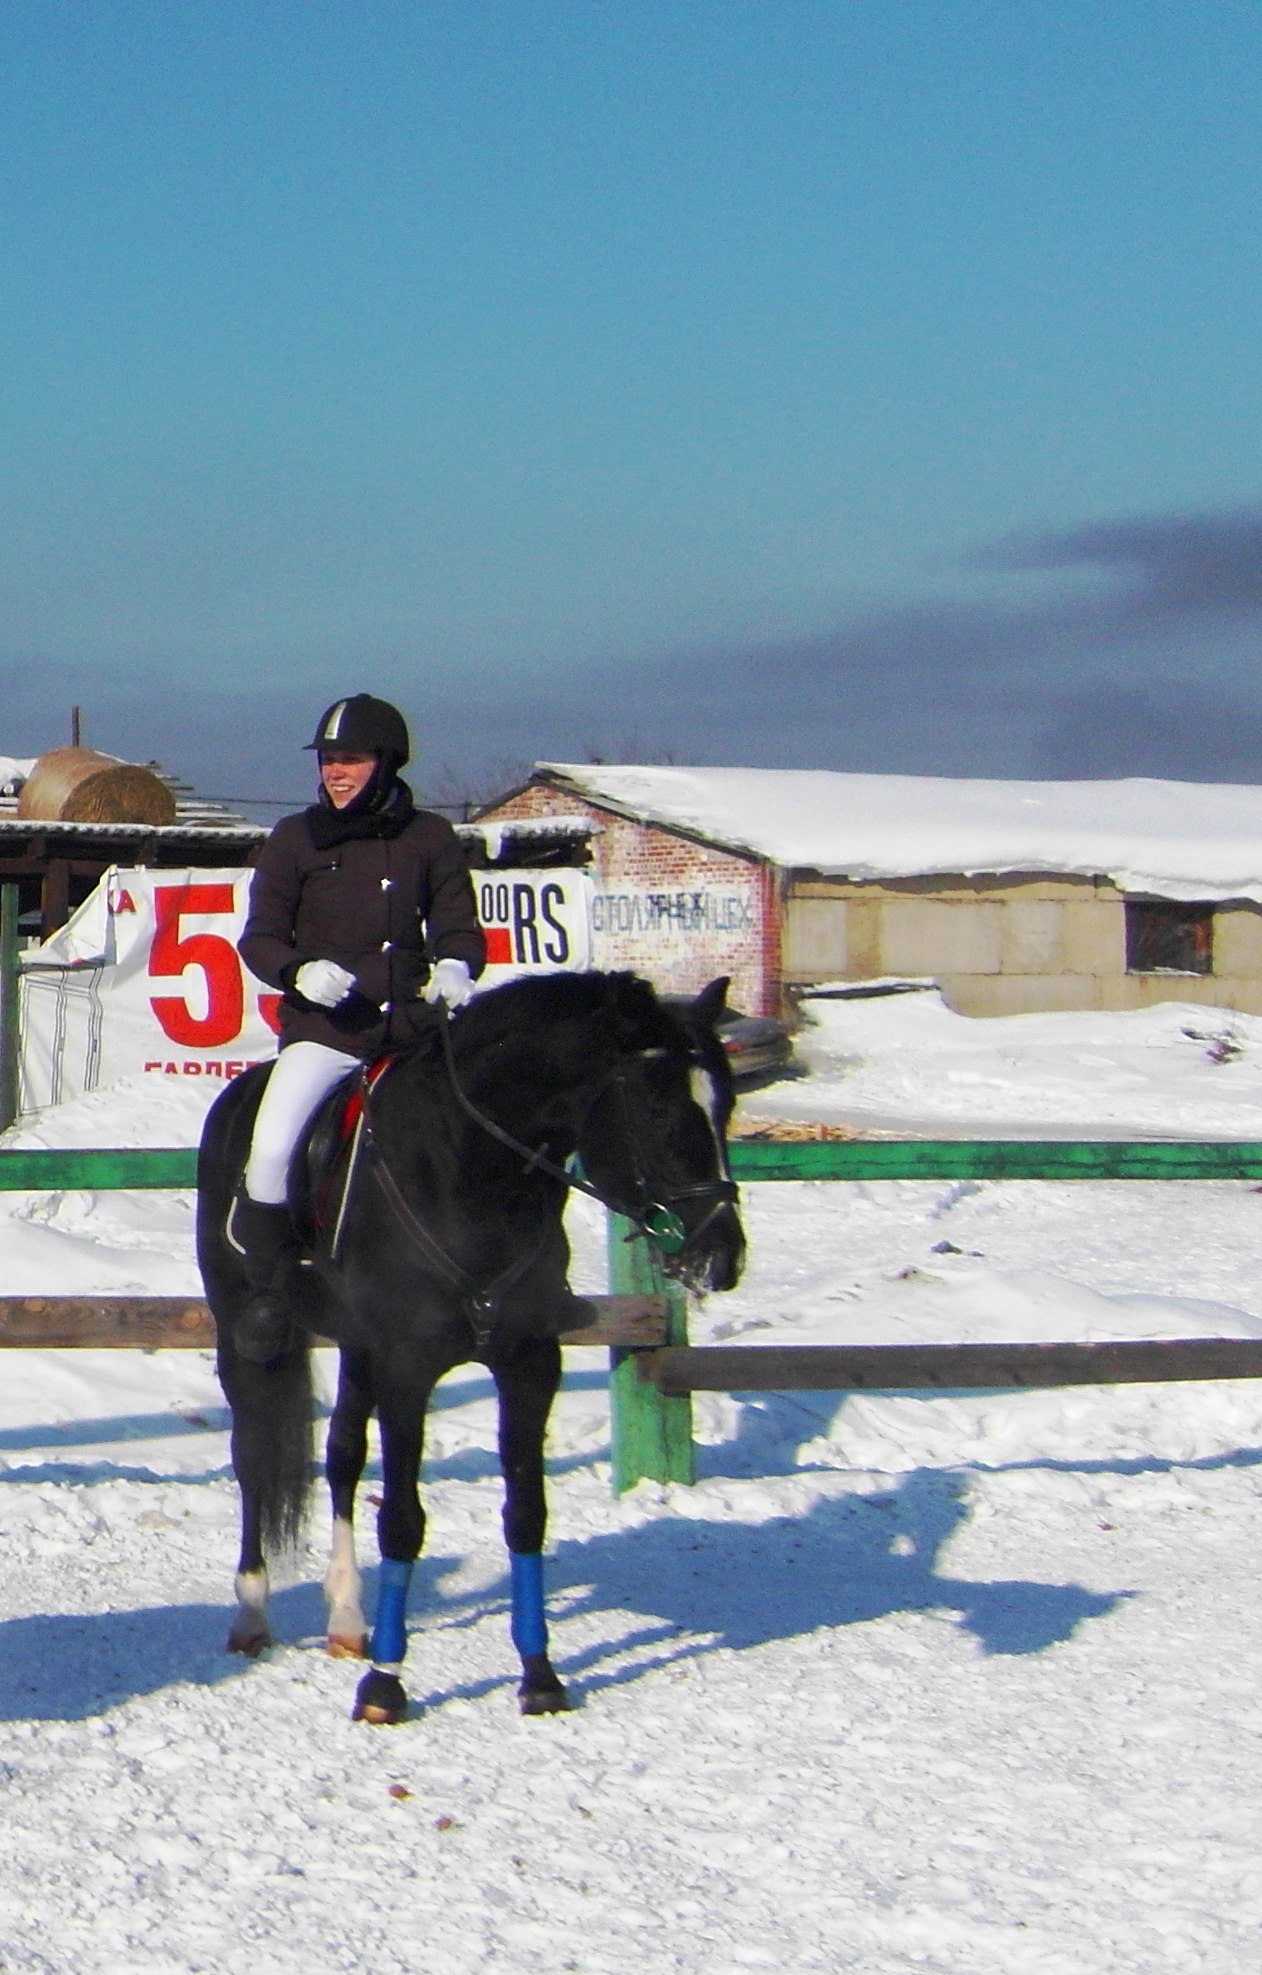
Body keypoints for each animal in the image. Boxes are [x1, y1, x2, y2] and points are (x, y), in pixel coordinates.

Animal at [196, 969, 746, 1723]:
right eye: (660, 1111)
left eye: (727, 1106)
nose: (720, 1259)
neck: (470, 1173)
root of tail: (238, 1095)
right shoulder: (408, 1370)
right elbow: (402, 1520)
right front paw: (386, 1687)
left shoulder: (528, 1363)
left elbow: (527, 1515)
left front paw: (540, 1675)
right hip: (245, 1335)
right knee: (252, 1456)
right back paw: (252, 1613)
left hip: (358, 1348)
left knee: (342, 1458)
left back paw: (347, 1618)